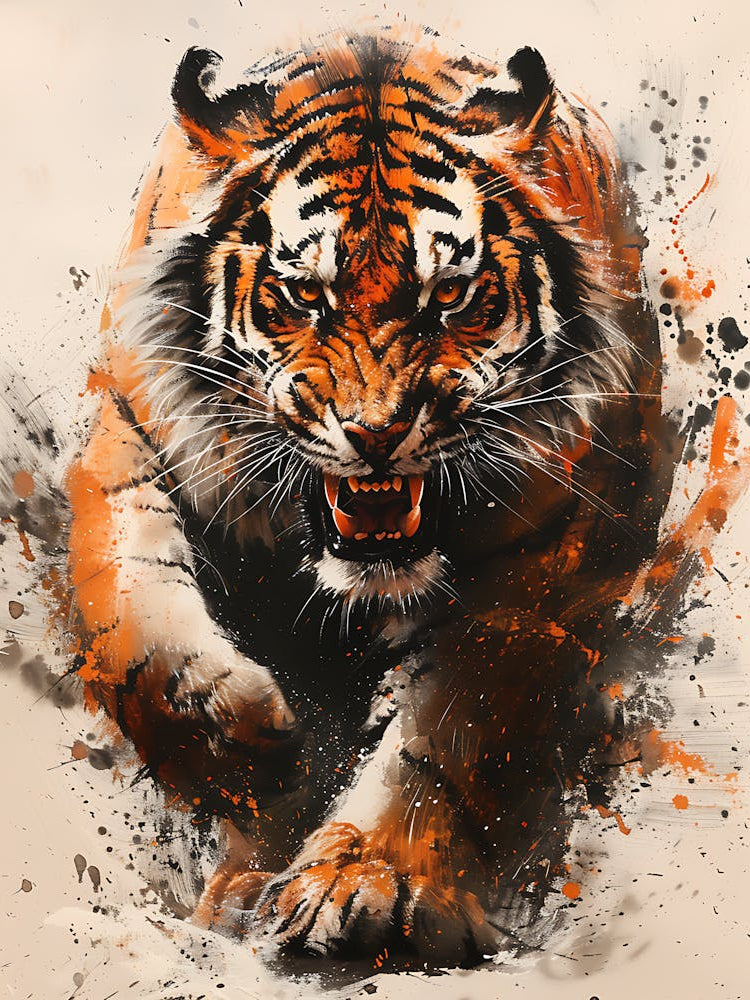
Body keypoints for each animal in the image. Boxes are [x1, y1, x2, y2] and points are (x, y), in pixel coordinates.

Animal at [65, 28, 678, 967]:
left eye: (450, 295)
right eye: (304, 295)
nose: (378, 431)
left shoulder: (561, 536)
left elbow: (448, 723)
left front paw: (362, 883)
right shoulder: (131, 429)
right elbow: (130, 612)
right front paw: (237, 744)